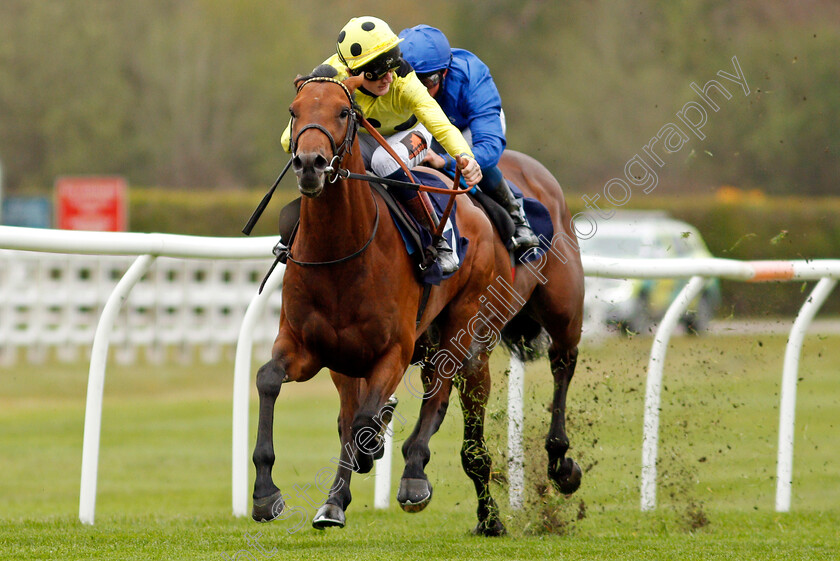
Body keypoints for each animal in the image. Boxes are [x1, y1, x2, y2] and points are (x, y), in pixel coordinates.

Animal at [249, 74, 584, 532]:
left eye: (343, 112)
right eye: (293, 111)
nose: (310, 164)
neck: (342, 254)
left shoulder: (393, 350)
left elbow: (363, 420)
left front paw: (364, 467)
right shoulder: (309, 348)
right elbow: (271, 381)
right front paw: (269, 493)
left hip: (510, 321)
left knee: (554, 366)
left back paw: (545, 467)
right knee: (418, 399)